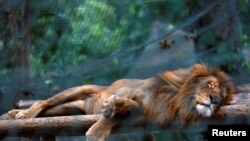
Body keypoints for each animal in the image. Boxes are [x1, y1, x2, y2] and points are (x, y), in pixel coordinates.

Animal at [6, 64, 235, 141]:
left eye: (222, 98)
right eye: (211, 85)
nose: (214, 100)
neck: (177, 100)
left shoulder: (146, 113)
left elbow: (128, 110)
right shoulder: (128, 90)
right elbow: (116, 107)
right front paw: (97, 130)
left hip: (69, 109)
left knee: (49, 111)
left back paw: (13, 115)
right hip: (77, 90)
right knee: (44, 102)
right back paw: (21, 114)